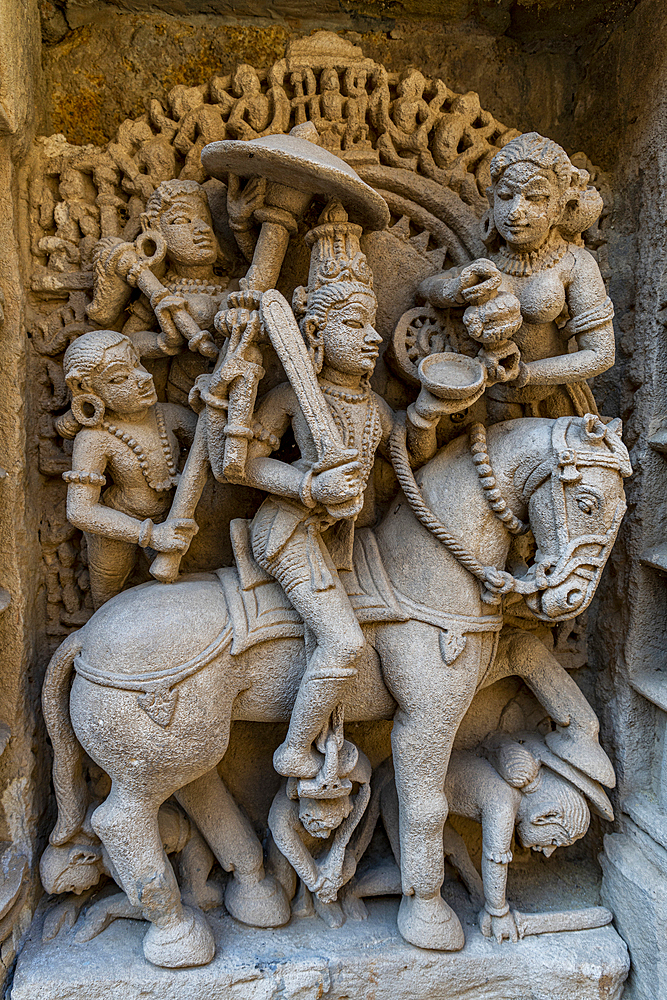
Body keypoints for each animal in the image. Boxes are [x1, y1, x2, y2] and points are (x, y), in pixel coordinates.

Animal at [43, 410, 632, 964]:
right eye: (586, 501)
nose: (572, 599)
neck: (416, 576)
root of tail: (83, 638)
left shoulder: (477, 655)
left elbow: (534, 654)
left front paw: (584, 753)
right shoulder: (428, 711)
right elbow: (426, 808)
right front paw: (431, 922)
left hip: (185, 739)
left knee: (193, 790)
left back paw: (254, 896)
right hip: (159, 743)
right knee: (121, 820)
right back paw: (180, 937)